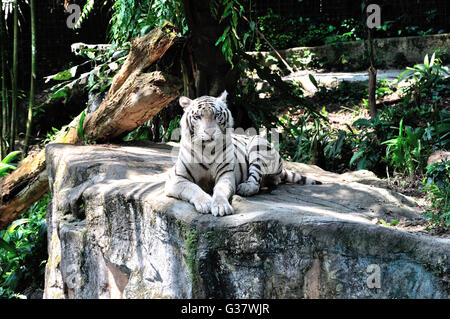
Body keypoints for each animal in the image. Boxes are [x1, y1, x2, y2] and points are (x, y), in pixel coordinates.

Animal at [163, 91, 322, 219]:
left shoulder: (226, 175)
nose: (210, 132)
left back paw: (245, 188)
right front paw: (206, 203)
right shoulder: (176, 179)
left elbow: (219, 190)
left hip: (257, 145)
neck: (206, 150)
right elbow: (193, 188)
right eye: (197, 117)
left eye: (217, 115)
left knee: (256, 182)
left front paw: (221, 206)